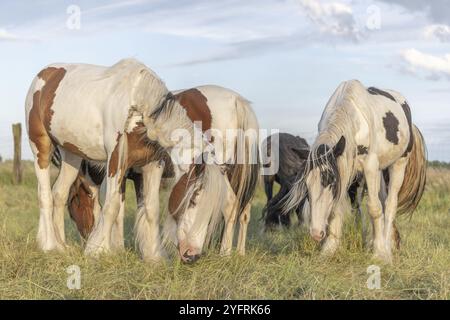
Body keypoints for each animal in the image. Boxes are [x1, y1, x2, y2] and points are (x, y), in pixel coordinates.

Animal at [25, 59, 256, 262]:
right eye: (193, 200)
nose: (192, 255)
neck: (139, 106)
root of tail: (45, 74)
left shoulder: (151, 165)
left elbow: (148, 208)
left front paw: (152, 256)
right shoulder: (117, 163)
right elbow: (112, 207)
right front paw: (102, 250)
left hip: (70, 155)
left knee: (57, 194)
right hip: (42, 148)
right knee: (47, 195)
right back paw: (50, 245)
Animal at [284, 79, 428, 262]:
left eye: (331, 182)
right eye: (307, 187)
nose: (316, 234)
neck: (354, 118)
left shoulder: (369, 167)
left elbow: (374, 208)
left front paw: (380, 253)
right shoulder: (345, 167)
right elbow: (339, 207)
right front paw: (329, 248)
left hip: (398, 164)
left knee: (389, 204)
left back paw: (386, 245)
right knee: (382, 199)